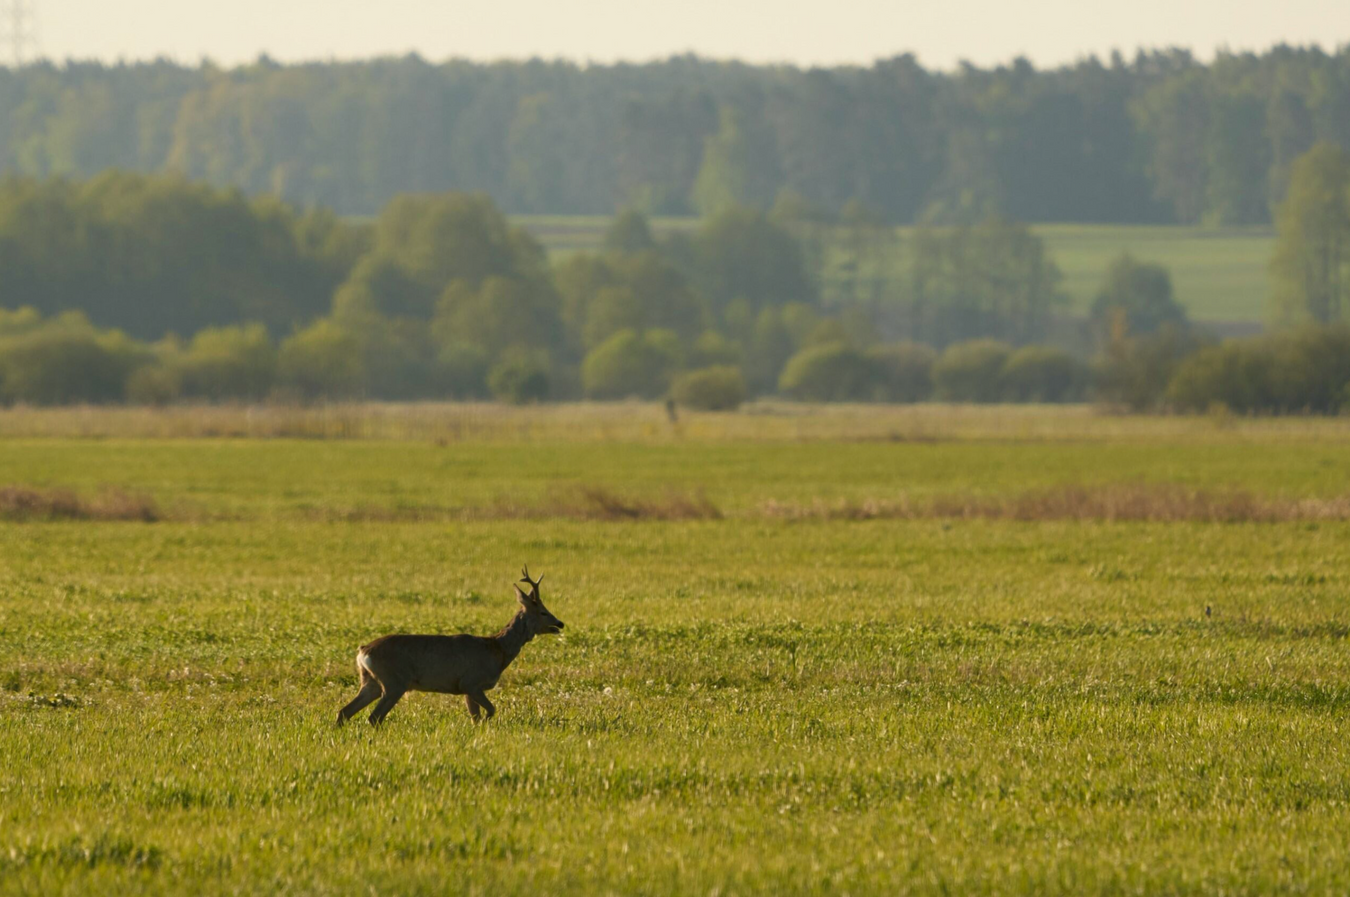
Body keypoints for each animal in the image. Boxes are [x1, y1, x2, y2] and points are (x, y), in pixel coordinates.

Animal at [336, 566, 564, 726]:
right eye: (543, 612)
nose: (560, 623)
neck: (497, 651)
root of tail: (363, 651)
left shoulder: (466, 688)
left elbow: (475, 718)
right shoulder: (471, 682)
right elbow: (491, 711)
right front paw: (487, 725)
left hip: (370, 681)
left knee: (344, 711)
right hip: (394, 681)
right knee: (374, 717)